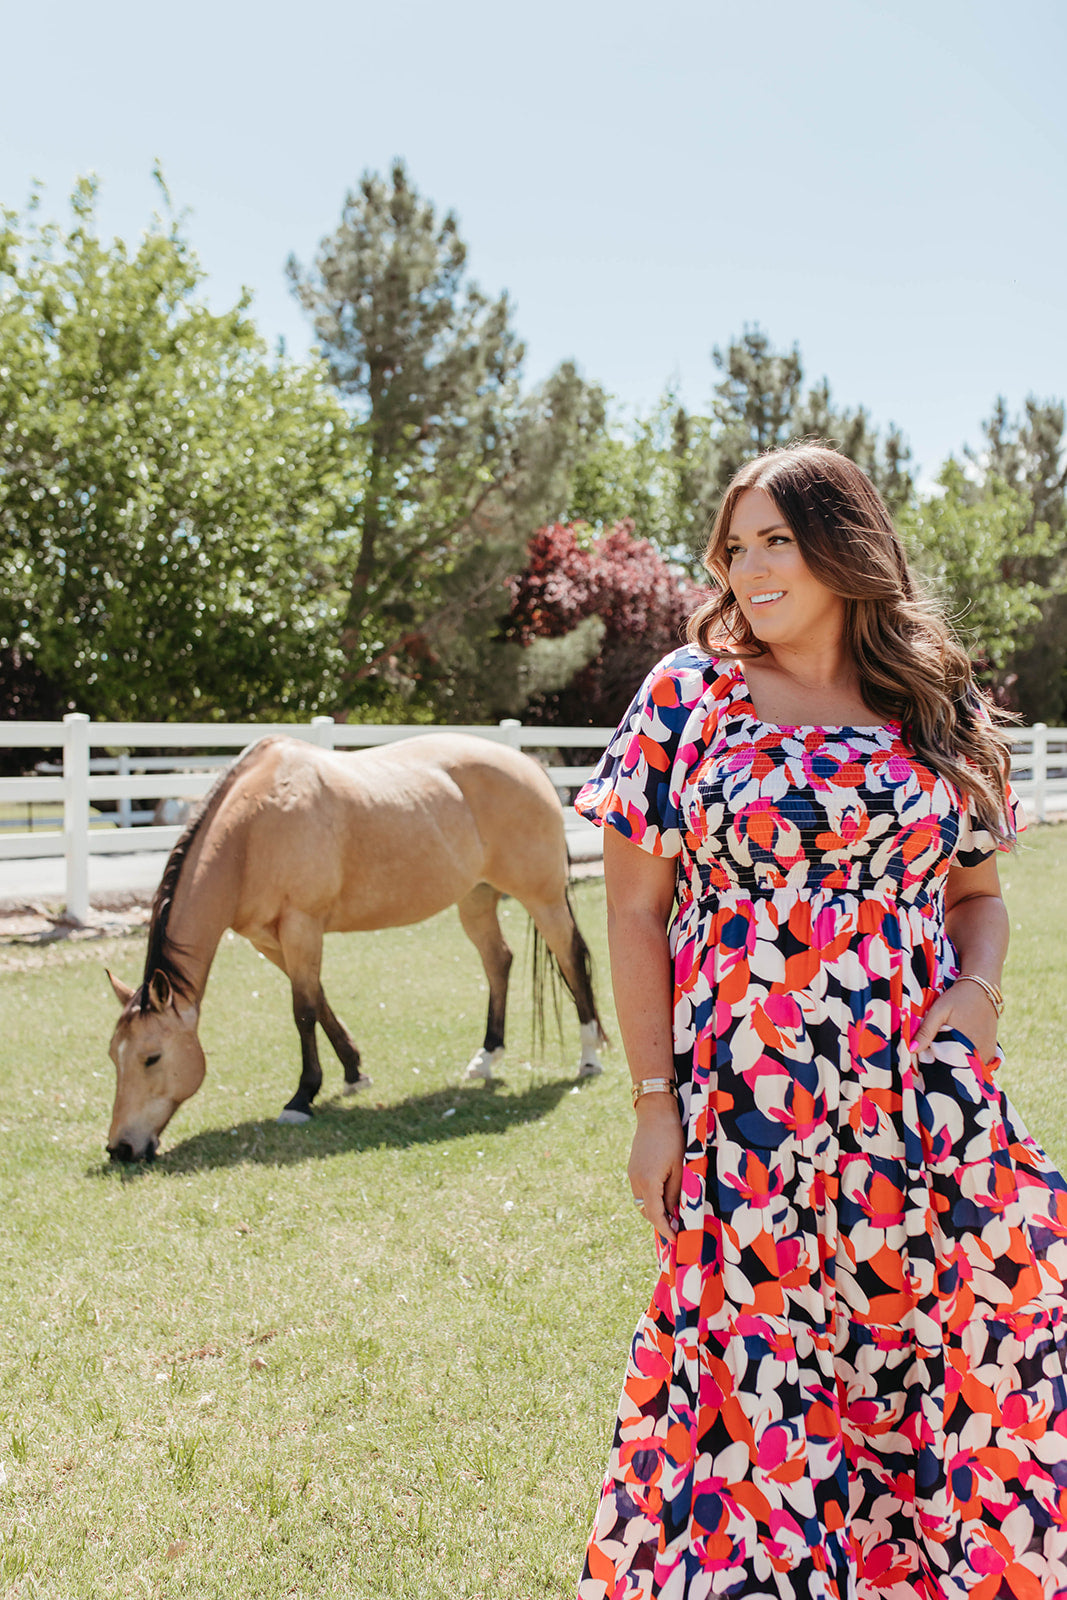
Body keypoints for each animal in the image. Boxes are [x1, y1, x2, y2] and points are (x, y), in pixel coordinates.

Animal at [108, 732, 607, 1164]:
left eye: (151, 1058)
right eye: (114, 1056)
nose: (120, 1148)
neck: (250, 831)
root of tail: (530, 765)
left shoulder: (301, 926)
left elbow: (303, 1011)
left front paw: (301, 1098)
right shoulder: (270, 940)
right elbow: (319, 1000)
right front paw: (353, 1073)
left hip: (541, 897)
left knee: (570, 958)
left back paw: (588, 1058)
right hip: (476, 898)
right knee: (498, 961)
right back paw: (486, 1059)